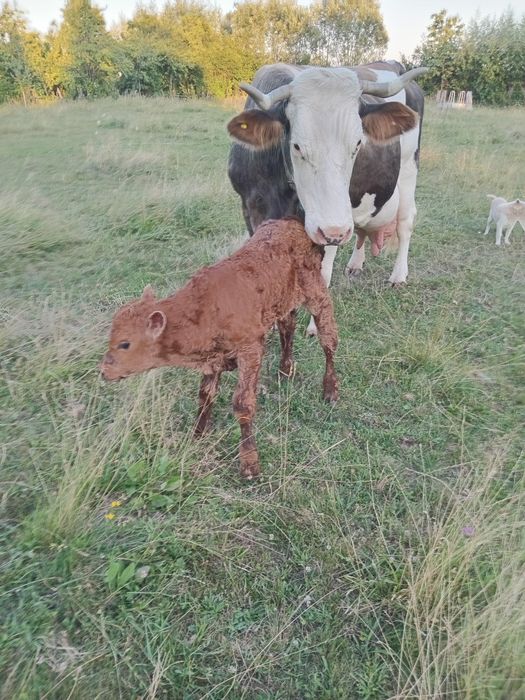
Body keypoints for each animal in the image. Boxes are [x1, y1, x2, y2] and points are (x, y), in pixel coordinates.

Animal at [227, 60, 427, 333]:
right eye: (297, 146)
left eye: (358, 143)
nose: (336, 231)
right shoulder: (250, 207)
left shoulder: (329, 224)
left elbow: (323, 272)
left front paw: (314, 325)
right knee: (362, 230)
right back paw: (355, 264)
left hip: (407, 169)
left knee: (405, 222)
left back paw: (398, 276)